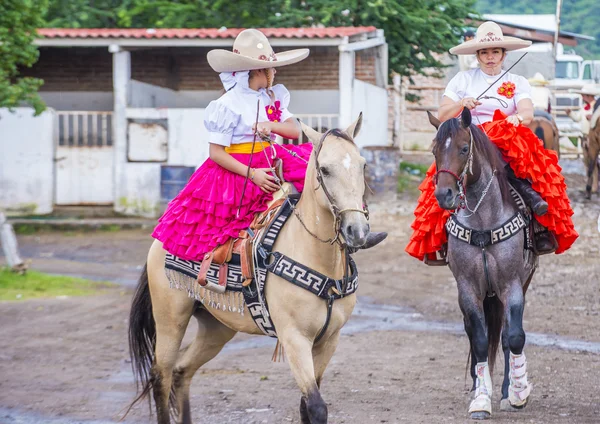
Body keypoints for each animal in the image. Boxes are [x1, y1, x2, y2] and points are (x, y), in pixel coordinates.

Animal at [428, 107, 532, 420]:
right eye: (435, 150)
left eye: (464, 149)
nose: (444, 195)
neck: (484, 222)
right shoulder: (468, 288)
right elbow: (480, 341)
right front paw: (480, 400)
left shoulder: (512, 285)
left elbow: (514, 337)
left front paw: (517, 393)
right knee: (475, 336)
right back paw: (478, 386)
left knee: (508, 336)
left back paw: (508, 391)